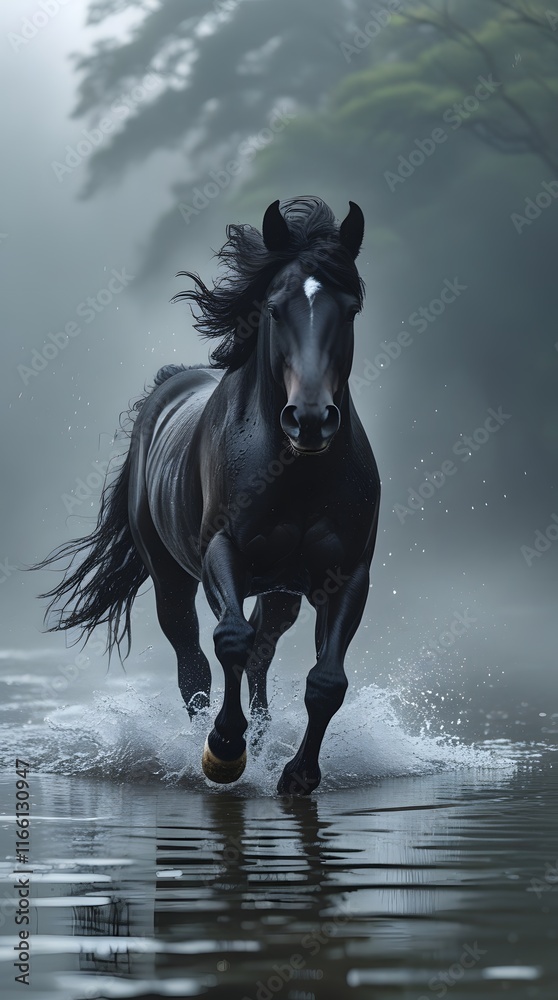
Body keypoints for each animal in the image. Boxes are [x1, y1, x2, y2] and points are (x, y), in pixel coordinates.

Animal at [37, 196, 381, 795]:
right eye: (274, 308)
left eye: (351, 309)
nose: (310, 419)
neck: (295, 473)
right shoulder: (223, 550)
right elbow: (230, 641)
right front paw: (223, 749)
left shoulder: (348, 573)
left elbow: (326, 680)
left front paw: (298, 773)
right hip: (171, 577)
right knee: (195, 659)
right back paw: (216, 740)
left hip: (283, 590)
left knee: (263, 652)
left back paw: (262, 739)